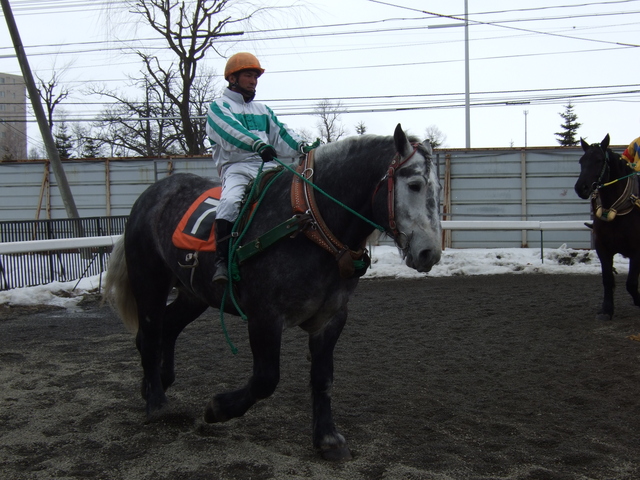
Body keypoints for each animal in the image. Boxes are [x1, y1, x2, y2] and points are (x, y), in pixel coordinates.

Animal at [103, 124, 442, 460]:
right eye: (414, 185)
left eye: (437, 189)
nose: (430, 253)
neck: (309, 224)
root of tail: (152, 195)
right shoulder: (264, 317)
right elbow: (266, 379)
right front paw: (218, 408)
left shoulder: (330, 318)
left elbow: (323, 378)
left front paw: (327, 437)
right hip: (150, 281)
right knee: (150, 334)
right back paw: (157, 404)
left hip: (193, 294)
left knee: (167, 328)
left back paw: (157, 382)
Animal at [574, 134, 640, 321]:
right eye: (581, 161)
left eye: (599, 160)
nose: (581, 187)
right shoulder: (602, 248)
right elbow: (607, 279)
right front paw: (607, 309)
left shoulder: (637, 251)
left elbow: (631, 283)